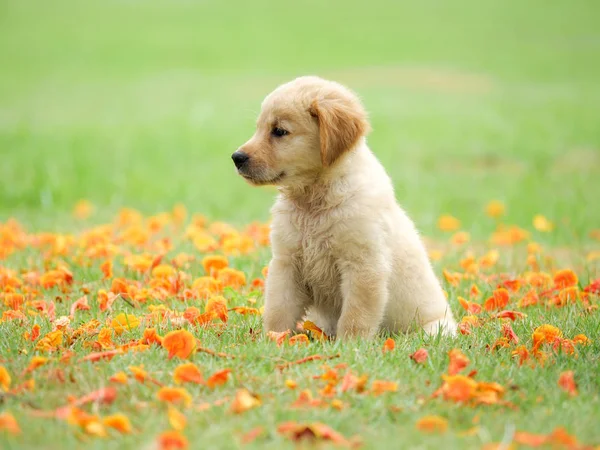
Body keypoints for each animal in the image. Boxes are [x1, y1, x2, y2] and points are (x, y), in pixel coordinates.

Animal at [232, 76, 458, 338]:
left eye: (279, 131)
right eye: (259, 128)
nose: (237, 158)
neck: (314, 201)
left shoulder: (363, 266)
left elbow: (355, 317)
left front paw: (349, 345)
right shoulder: (286, 263)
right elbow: (279, 309)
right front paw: (273, 338)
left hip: (434, 329)